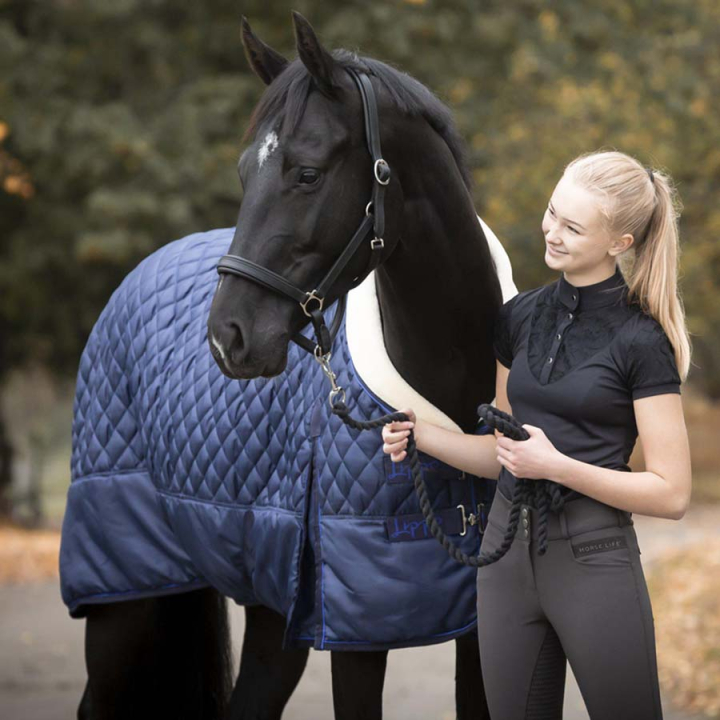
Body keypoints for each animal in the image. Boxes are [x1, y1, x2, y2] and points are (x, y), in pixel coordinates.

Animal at [60, 12, 517, 720]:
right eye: (245, 173)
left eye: (306, 173)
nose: (228, 337)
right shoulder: (358, 630)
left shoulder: (475, 627)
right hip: (123, 594)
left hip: (271, 609)